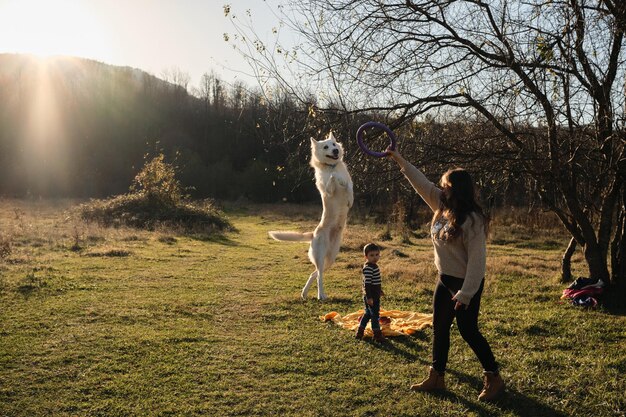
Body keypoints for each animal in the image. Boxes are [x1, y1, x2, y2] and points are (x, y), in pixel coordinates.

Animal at [266, 133, 352, 300]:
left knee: (315, 273)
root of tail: (313, 234)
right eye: (326, 147)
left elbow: (349, 187)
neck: (331, 166)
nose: (335, 150)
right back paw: (320, 295)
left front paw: (349, 197)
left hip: (331, 257)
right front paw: (334, 177)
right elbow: (331, 180)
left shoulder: (349, 183)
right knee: (319, 276)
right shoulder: (328, 190)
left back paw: (305, 293)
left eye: (333, 144)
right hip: (321, 255)